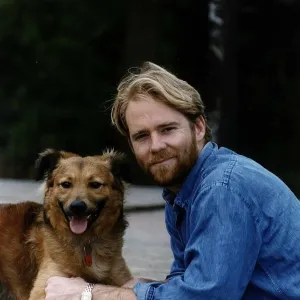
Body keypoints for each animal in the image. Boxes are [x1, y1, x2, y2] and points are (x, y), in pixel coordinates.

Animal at [0, 149, 132, 300]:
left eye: (95, 184)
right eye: (66, 184)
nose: (77, 207)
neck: (85, 242)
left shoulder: (122, 278)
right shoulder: (46, 284)